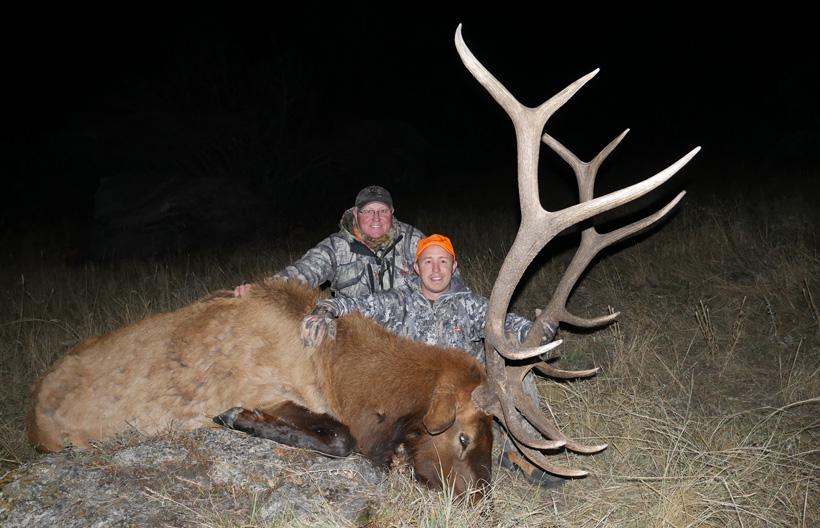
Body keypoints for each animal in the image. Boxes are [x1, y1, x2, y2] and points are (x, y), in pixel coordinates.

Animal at [26, 24, 698, 500]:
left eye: (493, 437)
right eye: (463, 433)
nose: (479, 501)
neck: (338, 367)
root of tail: (31, 416)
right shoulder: (274, 386)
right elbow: (343, 439)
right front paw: (238, 419)